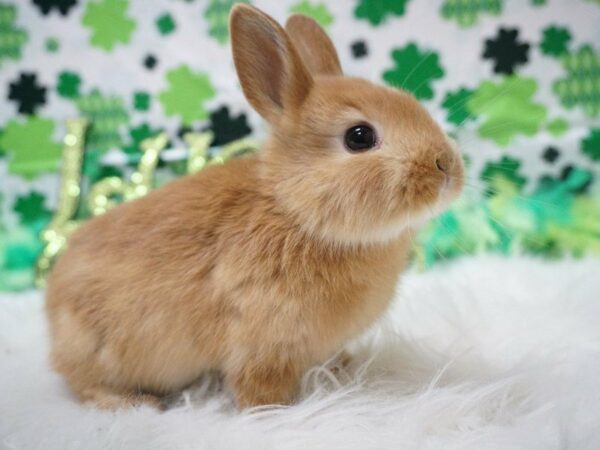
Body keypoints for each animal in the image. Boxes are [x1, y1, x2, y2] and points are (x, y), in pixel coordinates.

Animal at [45, 4, 464, 412]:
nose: (446, 165)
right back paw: (131, 402)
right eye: (359, 137)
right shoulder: (261, 340)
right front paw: (274, 411)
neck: (294, 212)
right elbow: (258, 387)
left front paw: (341, 368)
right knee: (83, 385)